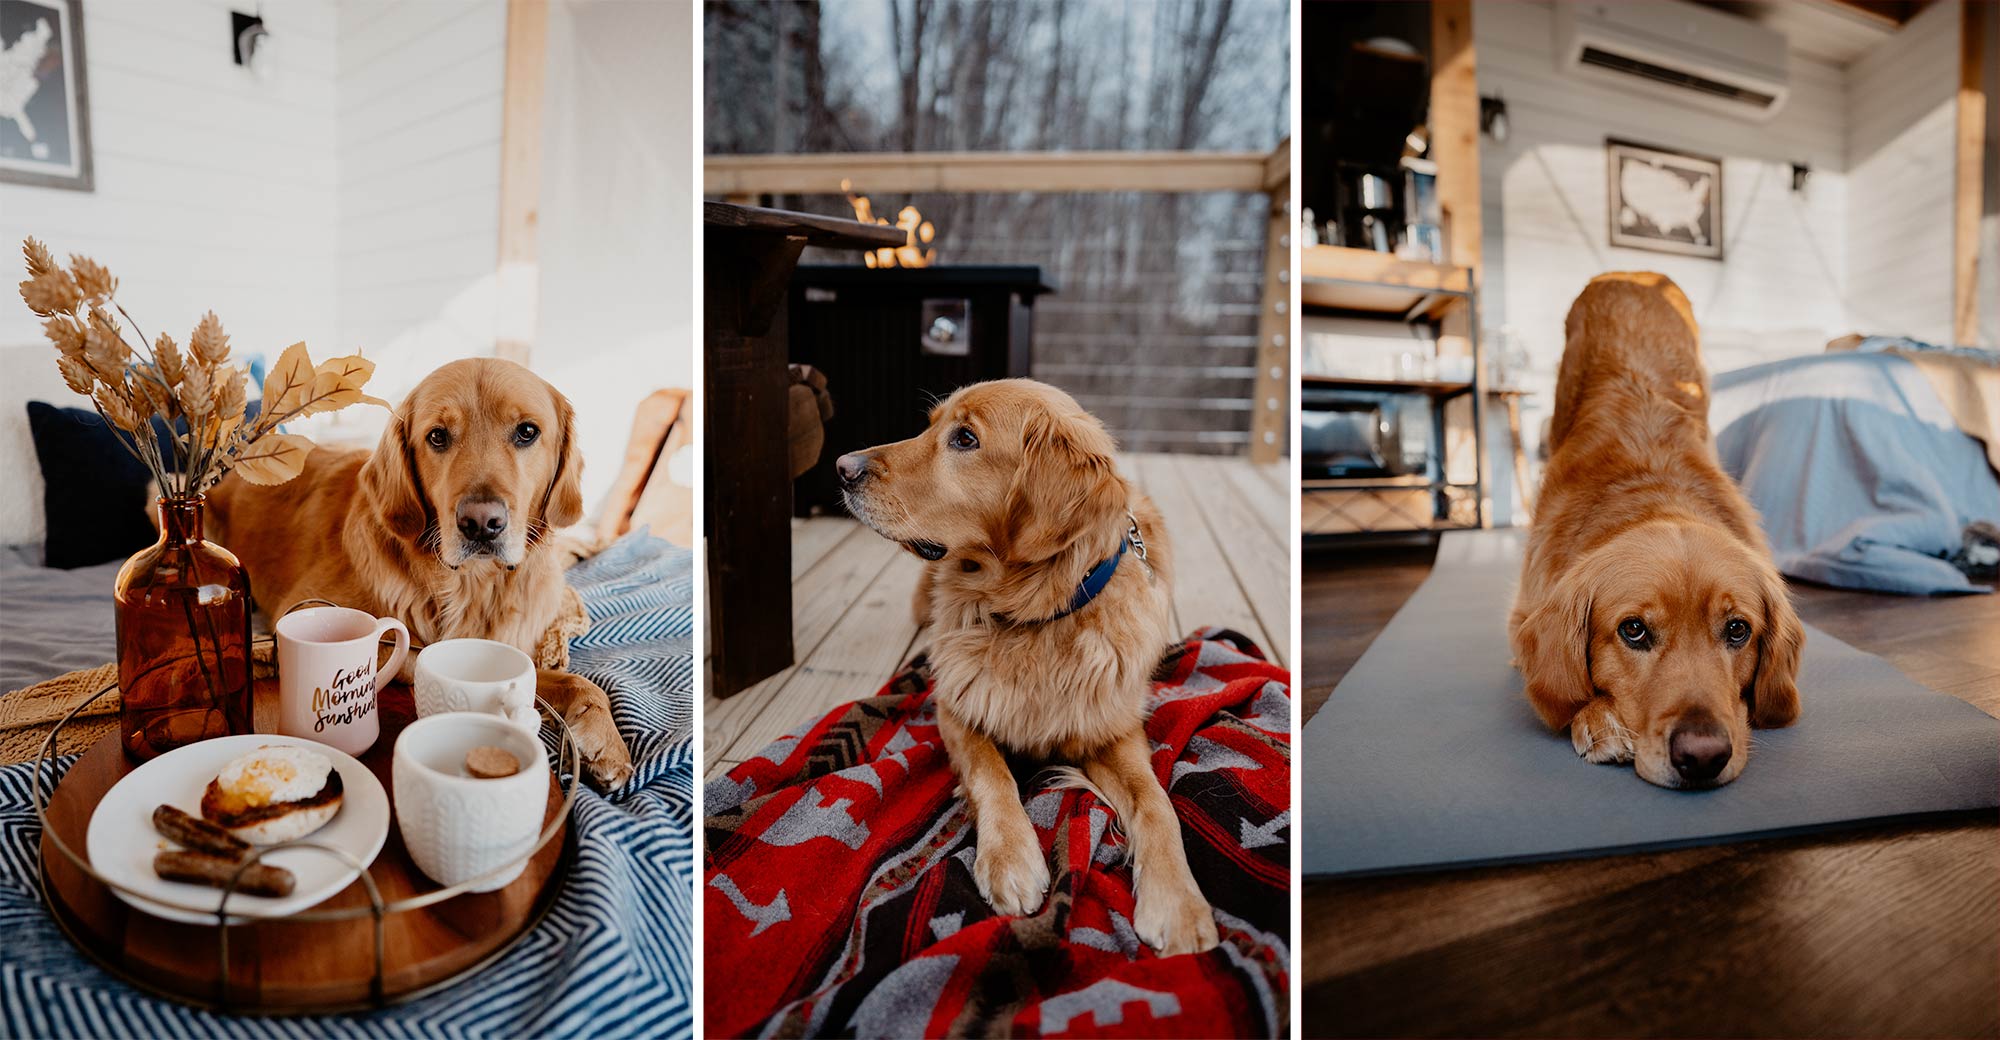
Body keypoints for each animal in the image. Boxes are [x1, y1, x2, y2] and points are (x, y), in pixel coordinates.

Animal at [207, 354, 628, 784]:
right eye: (438, 437)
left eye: (527, 431)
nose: (480, 523)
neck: (471, 586)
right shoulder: (316, 611)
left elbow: (578, 680)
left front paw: (606, 740)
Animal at [832, 378, 1216, 956]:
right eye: (930, 425)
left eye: (965, 439)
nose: (842, 466)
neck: (1032, 617)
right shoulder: (955, 708)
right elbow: (990, 772)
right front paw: (1011, 858)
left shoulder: (1113, 727)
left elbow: (1156, 803)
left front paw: (1179, 900)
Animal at [1504, 272, 1808, 792]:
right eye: (1633, 630)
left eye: (1738, 630)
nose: (1703, 756)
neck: (1654, 495)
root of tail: (1632, 273)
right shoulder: (1523, 611)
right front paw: (1599, 717)